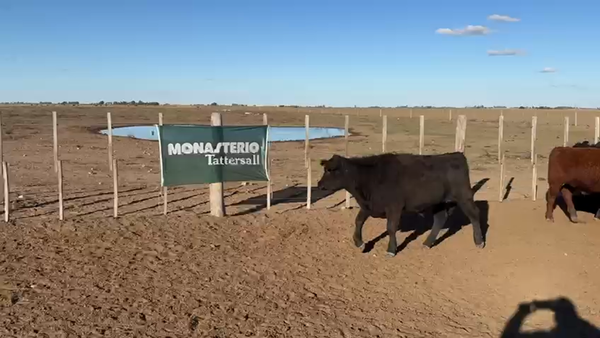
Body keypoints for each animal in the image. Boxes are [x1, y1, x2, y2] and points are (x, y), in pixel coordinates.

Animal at [316, 152, 486, 258]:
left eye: (330, 170)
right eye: (324, 169)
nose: (319, 185)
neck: (371, 176)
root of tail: (456, 155)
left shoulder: (394, 207)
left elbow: (391, 228)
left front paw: (391, 250)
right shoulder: (370, 205)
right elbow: (358, 221)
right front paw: (360, 243)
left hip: (464, 197)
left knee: (474, 215)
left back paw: (479, 241)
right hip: (439, 202)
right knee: (440, 219)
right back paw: (427, 243)